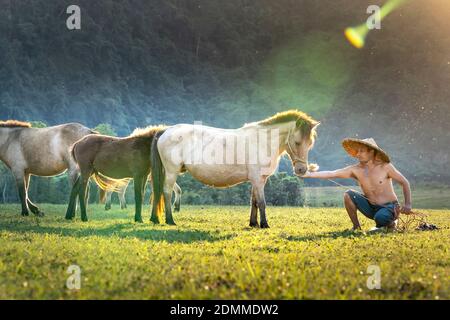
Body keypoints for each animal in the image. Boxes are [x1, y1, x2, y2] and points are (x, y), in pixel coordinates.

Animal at [149, 110, 318, 228]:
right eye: (297, 142)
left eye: (310, 143)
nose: (302, 169)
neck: (263, 141)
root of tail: (166, 131)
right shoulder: (258, 179)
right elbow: (262, 202)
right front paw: (264, 224)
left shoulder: (258, 180)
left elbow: (254, 201)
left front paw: (253, 223)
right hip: (171, 171)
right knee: (167, 192)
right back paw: (170, 220)